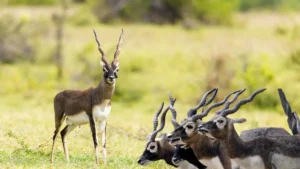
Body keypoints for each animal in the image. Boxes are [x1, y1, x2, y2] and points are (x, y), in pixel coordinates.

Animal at [50, 29, 123, 165]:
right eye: (104, 69)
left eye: (117, 69)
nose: (111, 78)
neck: (101, 98)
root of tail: (59, 94)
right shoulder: (92, 119)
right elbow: (95, 141)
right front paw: (97, 163)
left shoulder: (104, 120)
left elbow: (104, 143)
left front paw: (105, 164)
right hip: (59, 117)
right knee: (55, 134)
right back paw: (51, 160)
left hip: (72, 123)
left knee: (63, 133)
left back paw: (67, 160)